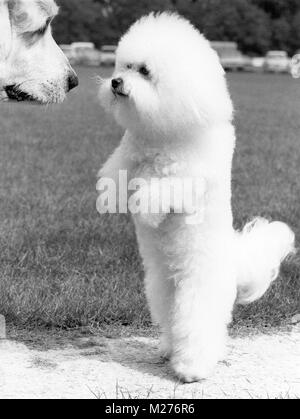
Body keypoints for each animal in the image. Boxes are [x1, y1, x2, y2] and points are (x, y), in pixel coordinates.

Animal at [99, 13, 296, 382]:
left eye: (144, 71)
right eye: (124, 65)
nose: (116, 82)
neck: (164, 133)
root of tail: (234, 263)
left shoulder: (189, 177)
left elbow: (163, 188)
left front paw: (145, 207)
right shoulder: (128, 155)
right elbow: (116, 172)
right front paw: (113, 198)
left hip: (198, 290)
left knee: (198, 328)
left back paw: (192, 368)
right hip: (162, 287)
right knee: (171, 321)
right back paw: (168, 350)